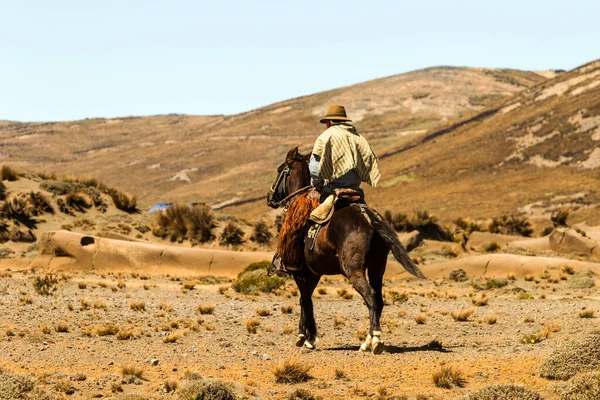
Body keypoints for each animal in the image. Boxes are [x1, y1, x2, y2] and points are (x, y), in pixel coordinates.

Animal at [268, 147, 426, 354]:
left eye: (280, 170)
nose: (269, 197)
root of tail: (367, 217)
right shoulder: (314, 274)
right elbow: (306, 300)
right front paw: (309, 336)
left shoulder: (300, 273)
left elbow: (305, 300)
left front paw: (305, 337)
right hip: (377, 267)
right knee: (378, 299)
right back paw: (367, 341)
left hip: (354, 270)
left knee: (370, 296)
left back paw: (375, 340)